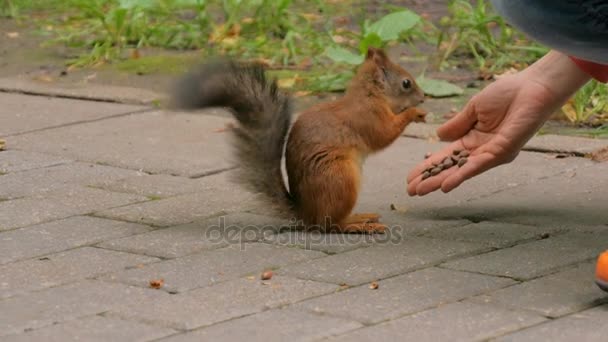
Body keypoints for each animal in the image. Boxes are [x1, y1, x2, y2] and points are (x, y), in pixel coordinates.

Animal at [173, 48, 426, 234]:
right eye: (406, 83)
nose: (424, 98)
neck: (370, 95)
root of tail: (306, 214)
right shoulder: (367, 118)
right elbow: (384, 134)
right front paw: (414, 113)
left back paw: (361, 217)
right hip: (340, 177)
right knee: (330, 225)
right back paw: (359, 224)